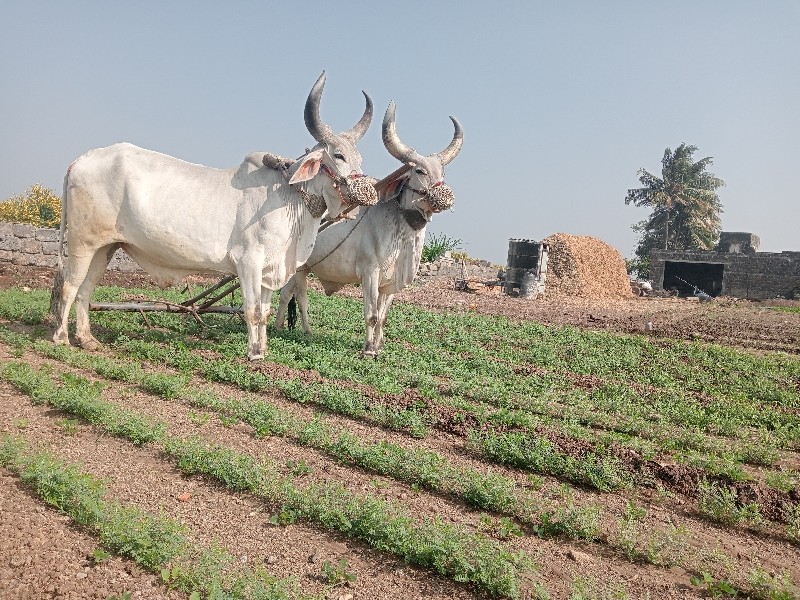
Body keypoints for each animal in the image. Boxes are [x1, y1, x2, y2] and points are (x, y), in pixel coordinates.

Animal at [50, 72, 378, 358]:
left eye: (359, 158)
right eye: (338, 155)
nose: (368, 191)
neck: (289, 196)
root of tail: (80, 160)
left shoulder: (270, 270)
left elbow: (265, 311)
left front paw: (263, 349)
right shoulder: (248, 262)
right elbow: (252, 311)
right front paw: (253, 354)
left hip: (105, 247)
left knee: (86, 289)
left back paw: (87, 339)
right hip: (82, 243)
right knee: (69, 286)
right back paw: (61, 338)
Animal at [276, 102, 462, 356]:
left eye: (442, 173)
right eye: (420, 171)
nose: (445, 197)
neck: (401, 232)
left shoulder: (390, 284)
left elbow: (382, 317)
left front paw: (378, 346)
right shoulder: (370, 274)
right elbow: (372, 315)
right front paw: (368, 349)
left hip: (303, 268)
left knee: (298, 295)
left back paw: (298, 329)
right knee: (288, 294)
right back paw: (286, 328)